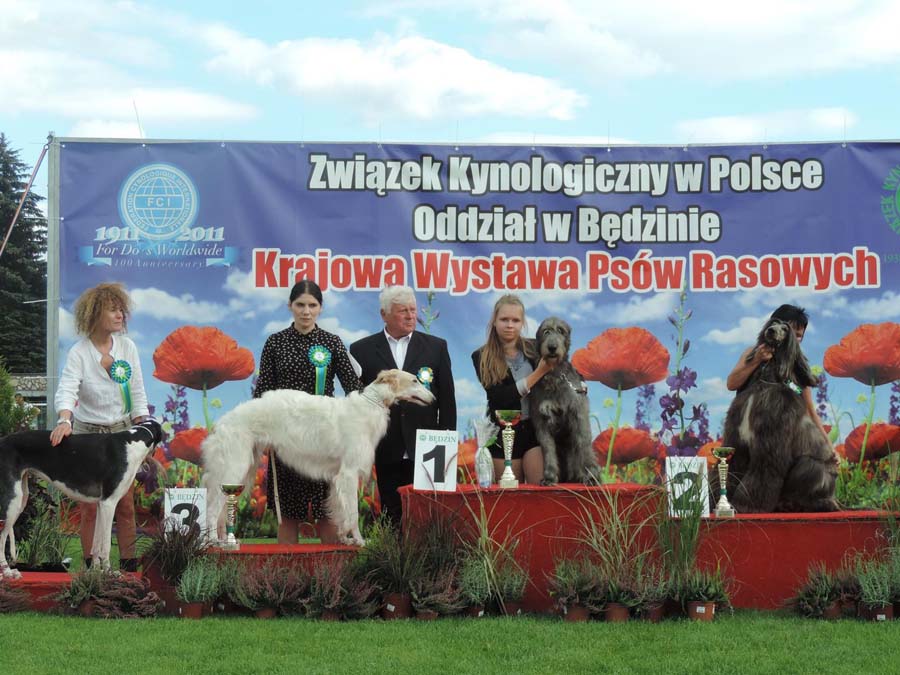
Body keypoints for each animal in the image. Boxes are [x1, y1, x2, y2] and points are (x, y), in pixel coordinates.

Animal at [0, 420, 162, 580]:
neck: (133, 442)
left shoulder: (101, 505)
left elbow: (96, 545)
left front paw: (96, 572)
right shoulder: (109, 503)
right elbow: (105, 546)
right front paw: (109, 573)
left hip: (21, 500)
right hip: (12, 502)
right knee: (2, 537)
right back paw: (7, 572)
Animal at [202, 370, 434, 548]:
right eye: (414, 380)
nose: (433, 399)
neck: (370, 406)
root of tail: (222, 422)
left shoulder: (338, 478)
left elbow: (340, 512)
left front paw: (344, 539)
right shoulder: (349, 473)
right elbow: (352, 513)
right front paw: (360, 541)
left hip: (242, 468)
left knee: (220, 511)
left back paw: (223, 540)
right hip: (234, 468)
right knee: (212, 509)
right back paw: (214, 542)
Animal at [532, 318, 600, 486]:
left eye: (561, 331)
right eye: (546, 331)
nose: (552, 347)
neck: (555, 375)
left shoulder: (578, 412)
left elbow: (584, 441)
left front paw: (592, 477)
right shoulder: (541, 419)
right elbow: (548, 448)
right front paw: (549, 477)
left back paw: (582, 475)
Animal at [720, 320, 840, 516]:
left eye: (785, 329)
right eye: (772, 323)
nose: (770, 331)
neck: (766, 383)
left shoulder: (770, 447)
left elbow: (763, 474)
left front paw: (747, 506)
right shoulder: (738, 443)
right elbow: (733, 469)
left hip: (811, 466)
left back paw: (818, 504)